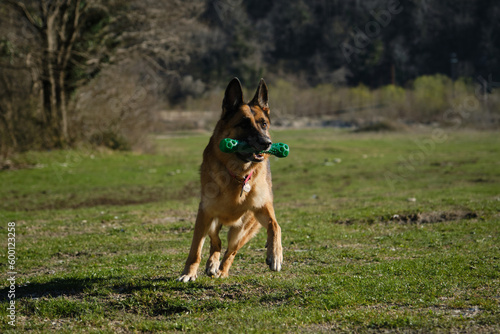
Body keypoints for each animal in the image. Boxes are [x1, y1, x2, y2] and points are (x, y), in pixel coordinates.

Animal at [178, 78, 284, 282]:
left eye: (264, 124)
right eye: (244, 124)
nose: (267, 143)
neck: (238, 175)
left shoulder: (262, 206)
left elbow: (275, 225)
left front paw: (275, 255)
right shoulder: (205, 213)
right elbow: (196, 249)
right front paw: (189, 272)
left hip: (242, 230)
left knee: (231, 250)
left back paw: (222, 270)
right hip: (212, 220)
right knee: (216, 241)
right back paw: (212, 264)